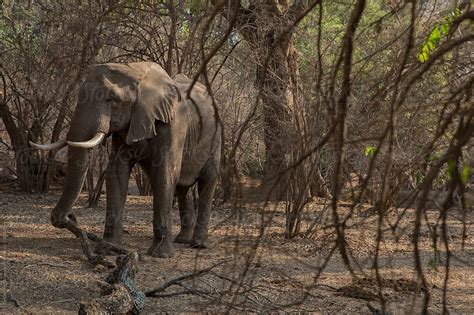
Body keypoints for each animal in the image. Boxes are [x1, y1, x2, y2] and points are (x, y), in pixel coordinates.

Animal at [31, 62, 220, 260]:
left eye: (113, 99)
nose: (66, 219)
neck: (138, 71)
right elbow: (116, 172)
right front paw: (107, 249)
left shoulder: (172, 125)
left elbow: (164, 175)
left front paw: (161, 255)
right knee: (183, 188)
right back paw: (182, 240)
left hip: (215, 138)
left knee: (207, 181)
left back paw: (198, 244)